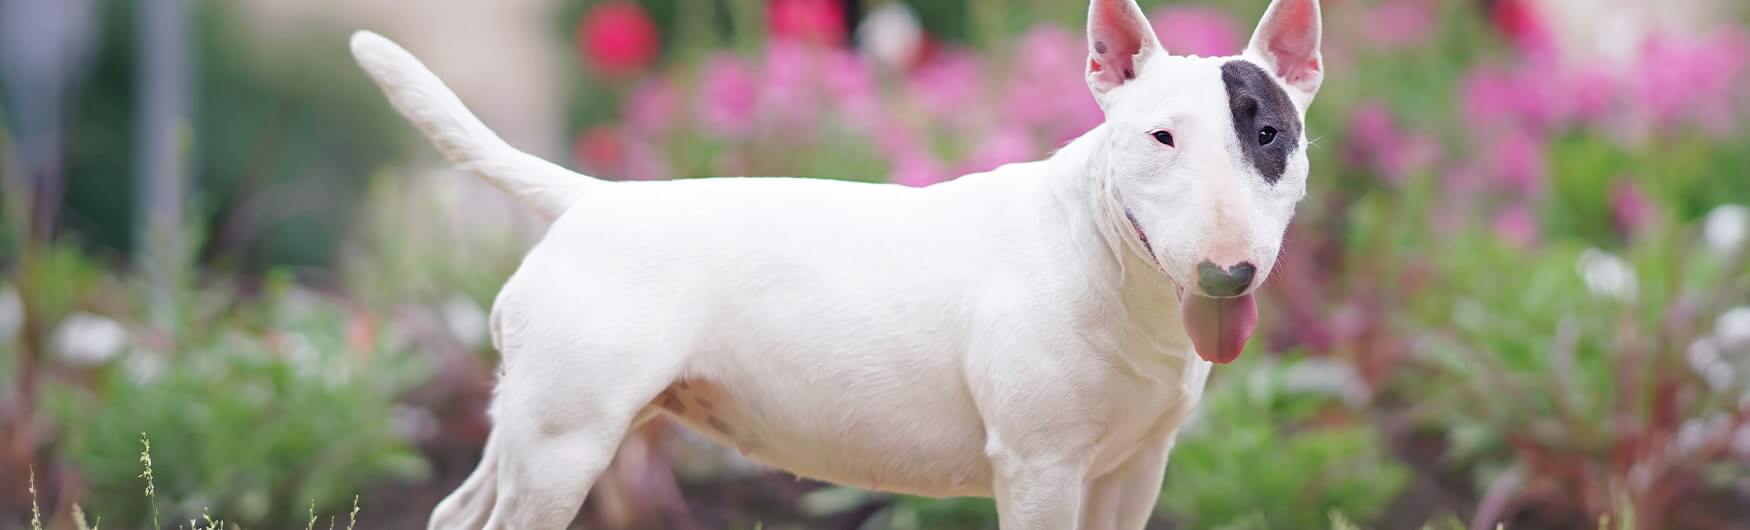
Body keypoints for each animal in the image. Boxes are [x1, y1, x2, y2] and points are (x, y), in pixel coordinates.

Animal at [351, 0, 1322, 527]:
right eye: (1160, 137)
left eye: (1269, 133)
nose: (1229, 271)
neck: (1112, 269)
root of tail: (592, 199)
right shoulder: (1037, 467)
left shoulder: (1133, 468)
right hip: (566, 438)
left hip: (529, 422)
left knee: (456, 509)